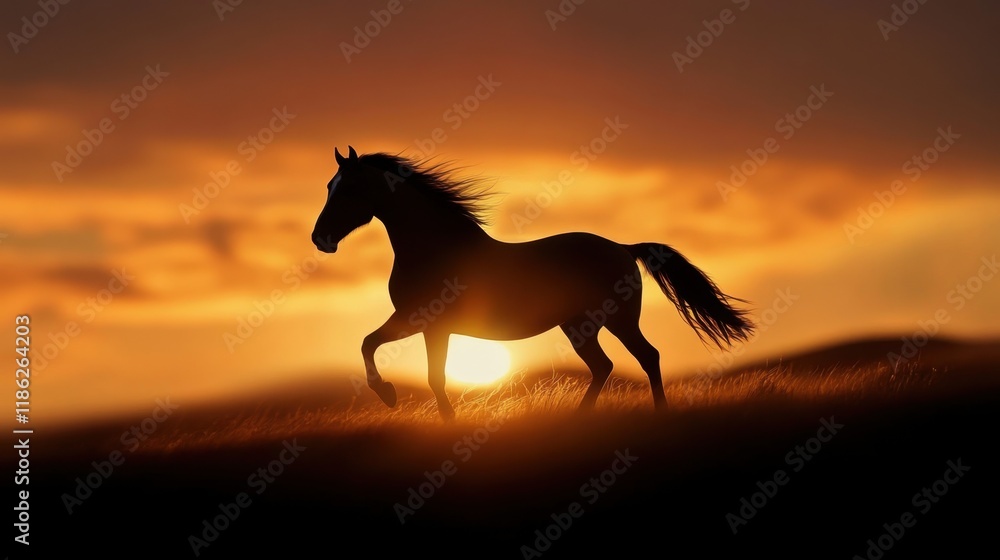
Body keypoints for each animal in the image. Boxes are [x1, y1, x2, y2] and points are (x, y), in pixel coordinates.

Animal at [311, 146, 754, 419]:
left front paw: (401, 401)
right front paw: (404, 402)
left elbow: (414, 367)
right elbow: (378, 347)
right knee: (605, 365)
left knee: (648, 357)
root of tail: (623, 248)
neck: (434, 249)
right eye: (328, 187)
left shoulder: (427, 323)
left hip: (618, 320)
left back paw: (657, 413)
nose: (319, 238)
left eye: (348, 188)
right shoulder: (418, 322)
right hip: (580, 326)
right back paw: (579, 418)